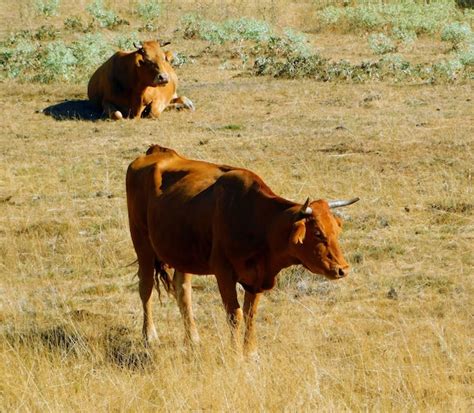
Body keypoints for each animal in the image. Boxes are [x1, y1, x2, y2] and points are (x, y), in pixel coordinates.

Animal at [126, 145, 360, 354]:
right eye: (318, 233)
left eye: (336, 231)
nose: (343, 269)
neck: (257, 220)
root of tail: (156, 153)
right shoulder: (224, 273)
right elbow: (234, 315)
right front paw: (236, 352)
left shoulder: (256, 278)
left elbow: (250, 314)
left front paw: (251, 352)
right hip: (142, 243)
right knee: (145, 287)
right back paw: (150, 336)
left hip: (182, 254)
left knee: (183, 291)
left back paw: (193, 339)